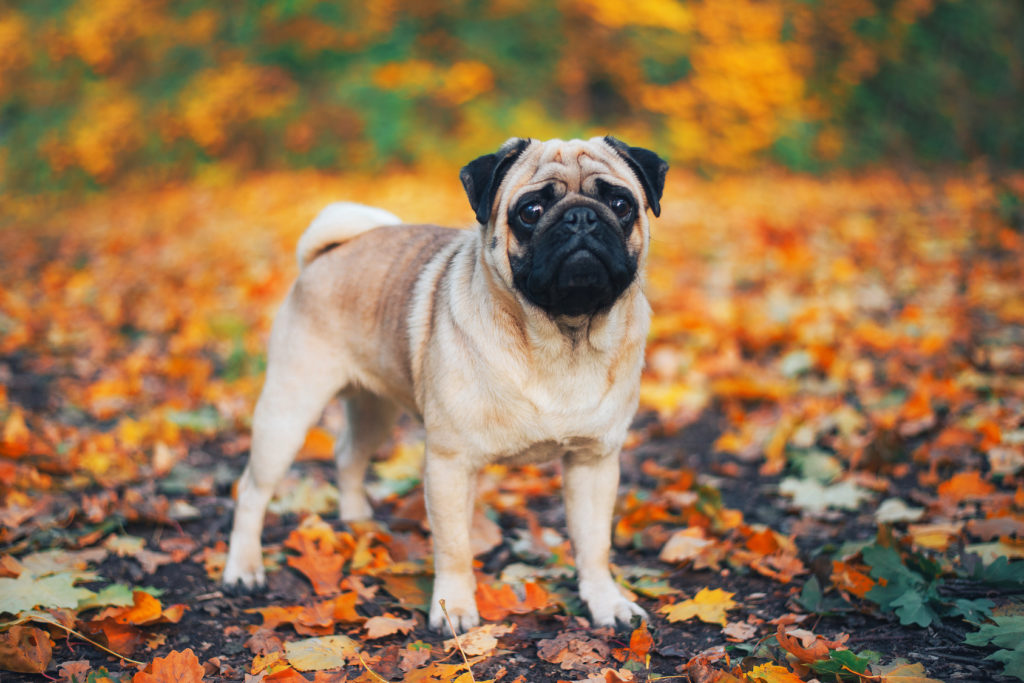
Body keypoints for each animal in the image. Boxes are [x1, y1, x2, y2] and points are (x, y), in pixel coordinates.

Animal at [223, 136, 667, 634]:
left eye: (621, 204)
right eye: (530, 210)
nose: (581, 217)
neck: (562, 340)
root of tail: (329, 253)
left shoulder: (593, 462)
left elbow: (594, 544)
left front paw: (606, 602)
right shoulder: (451, 463)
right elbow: (454, 546)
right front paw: (454, 609)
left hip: (375, 409)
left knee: (349, 456)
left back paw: (359, 524)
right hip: (288, 411)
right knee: (252, 491)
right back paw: (243, 569)